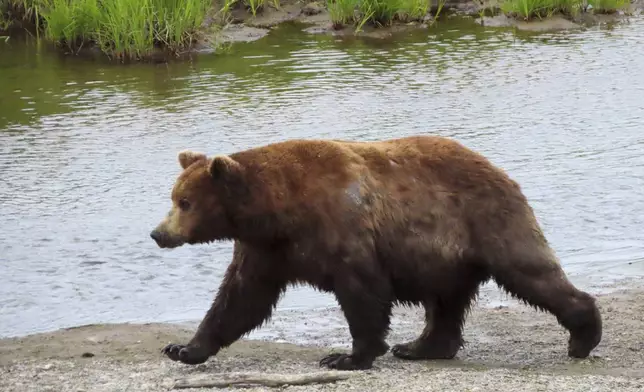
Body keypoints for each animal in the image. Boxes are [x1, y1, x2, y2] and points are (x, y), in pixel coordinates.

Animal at [148, 135, 600, 370]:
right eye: (173, 197)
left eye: (185, 201)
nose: (157, 233)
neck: (277, 210)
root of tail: (499, 169)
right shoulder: (267, 250)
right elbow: (239, 299)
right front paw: (183, 348)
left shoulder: (342, 230)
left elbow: (362, 293)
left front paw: (347, 356)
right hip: (445, 256)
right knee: (445, 303)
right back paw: (420, 347)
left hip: (487, 222)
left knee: (530, 272)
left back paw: (583, 335)